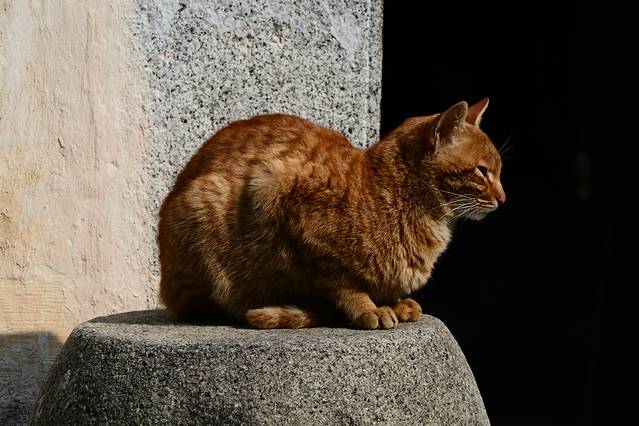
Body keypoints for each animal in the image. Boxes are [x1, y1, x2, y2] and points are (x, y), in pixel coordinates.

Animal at [157, 98, 505, 329]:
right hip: (204, 207)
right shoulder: (283, 199)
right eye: (482, 171)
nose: (503, 198)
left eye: (498, 171)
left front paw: (393, 301)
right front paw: (368, 307)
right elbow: (343, 284)